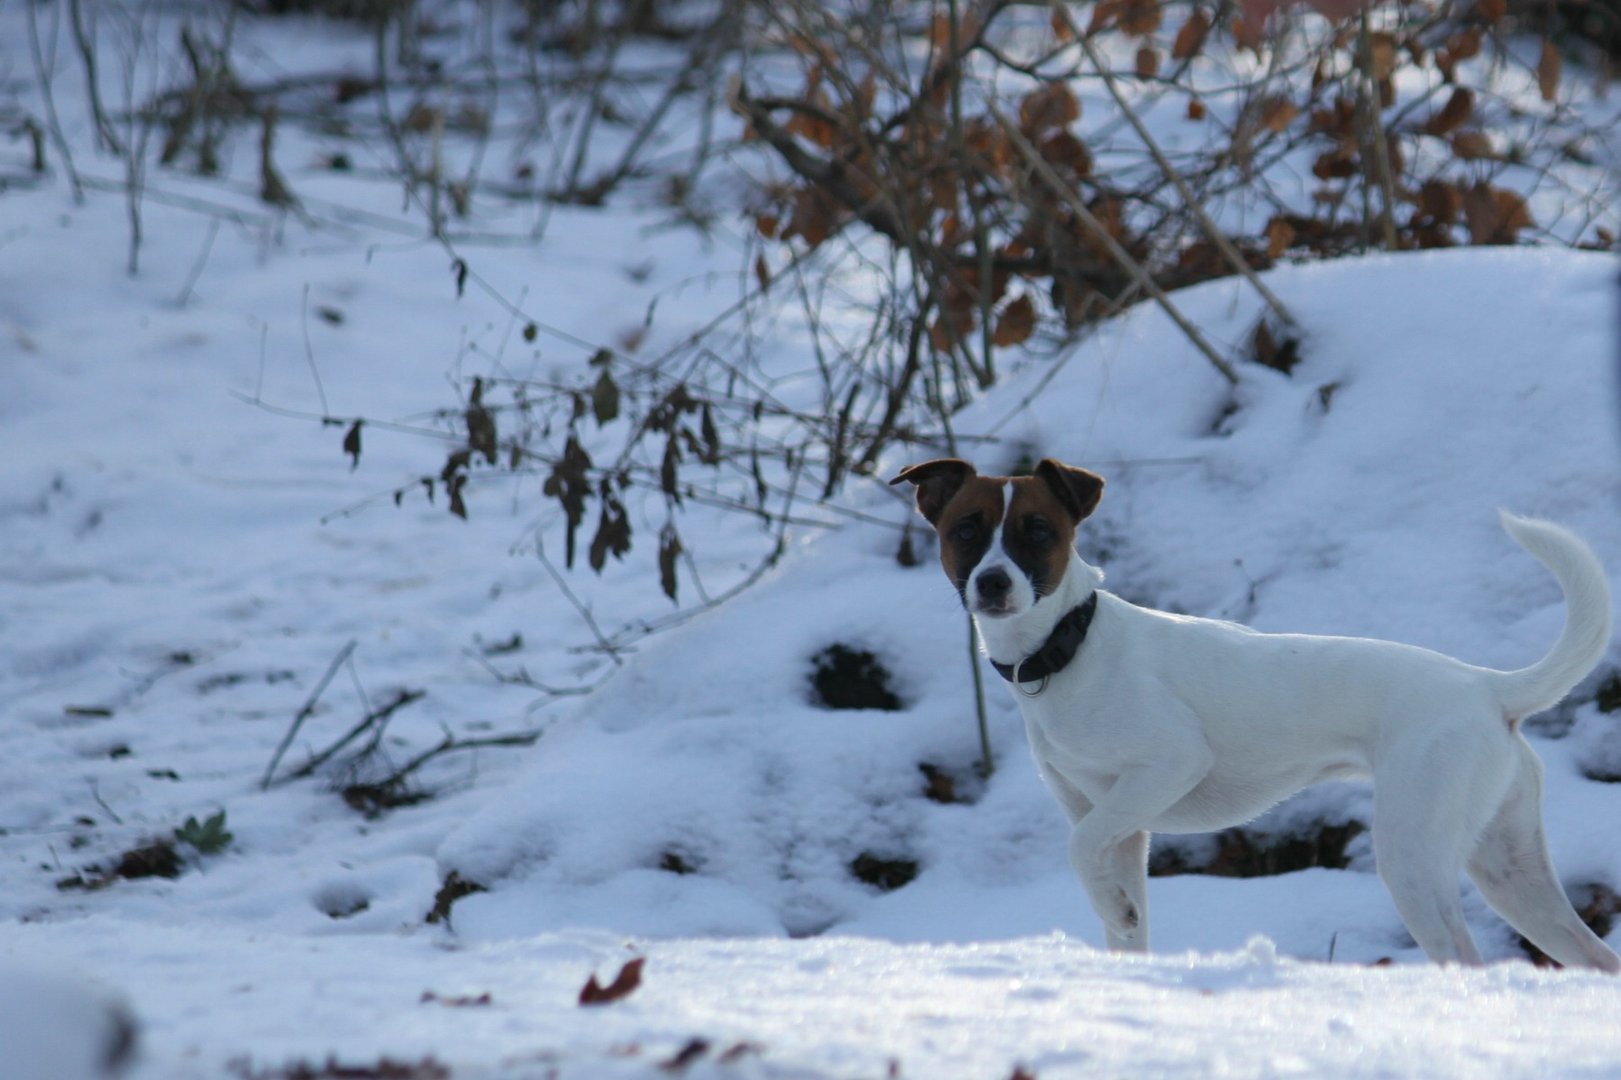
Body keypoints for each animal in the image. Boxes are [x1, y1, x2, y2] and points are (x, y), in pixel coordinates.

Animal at [894, 454, 1614, 966]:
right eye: (965, 530)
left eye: (1037, 531)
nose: (992, 583)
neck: (1069, 649)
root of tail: (1485, 686)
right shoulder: (1117, 825)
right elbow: (1117, 913)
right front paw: (1124, 937)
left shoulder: (1166, 766)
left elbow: (1079, 850)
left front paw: (1117, 910)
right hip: (1508, 865)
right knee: (1595, 955)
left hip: (1413, 851)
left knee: (1464, 957)